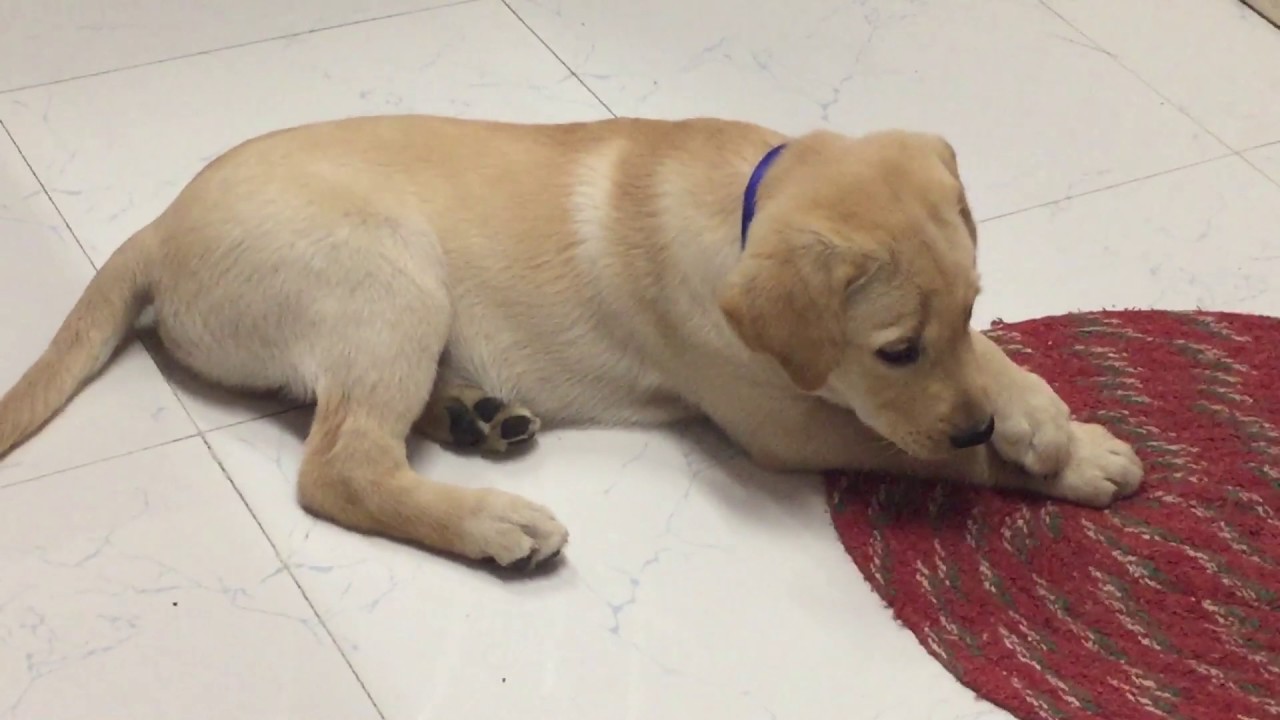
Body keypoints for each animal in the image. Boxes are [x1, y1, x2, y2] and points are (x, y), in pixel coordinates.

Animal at [0, 116, 1141, 566]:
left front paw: (1046, 419)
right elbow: (922, 454)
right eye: (894, 352)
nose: (978, 426)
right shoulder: (781, 424)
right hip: (388, 276)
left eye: (972, 306)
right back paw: (491, 521)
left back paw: (475, 415)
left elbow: (996, 369)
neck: (738, 206)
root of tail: (157, 228)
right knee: (339, 468)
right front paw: (1064, 460)